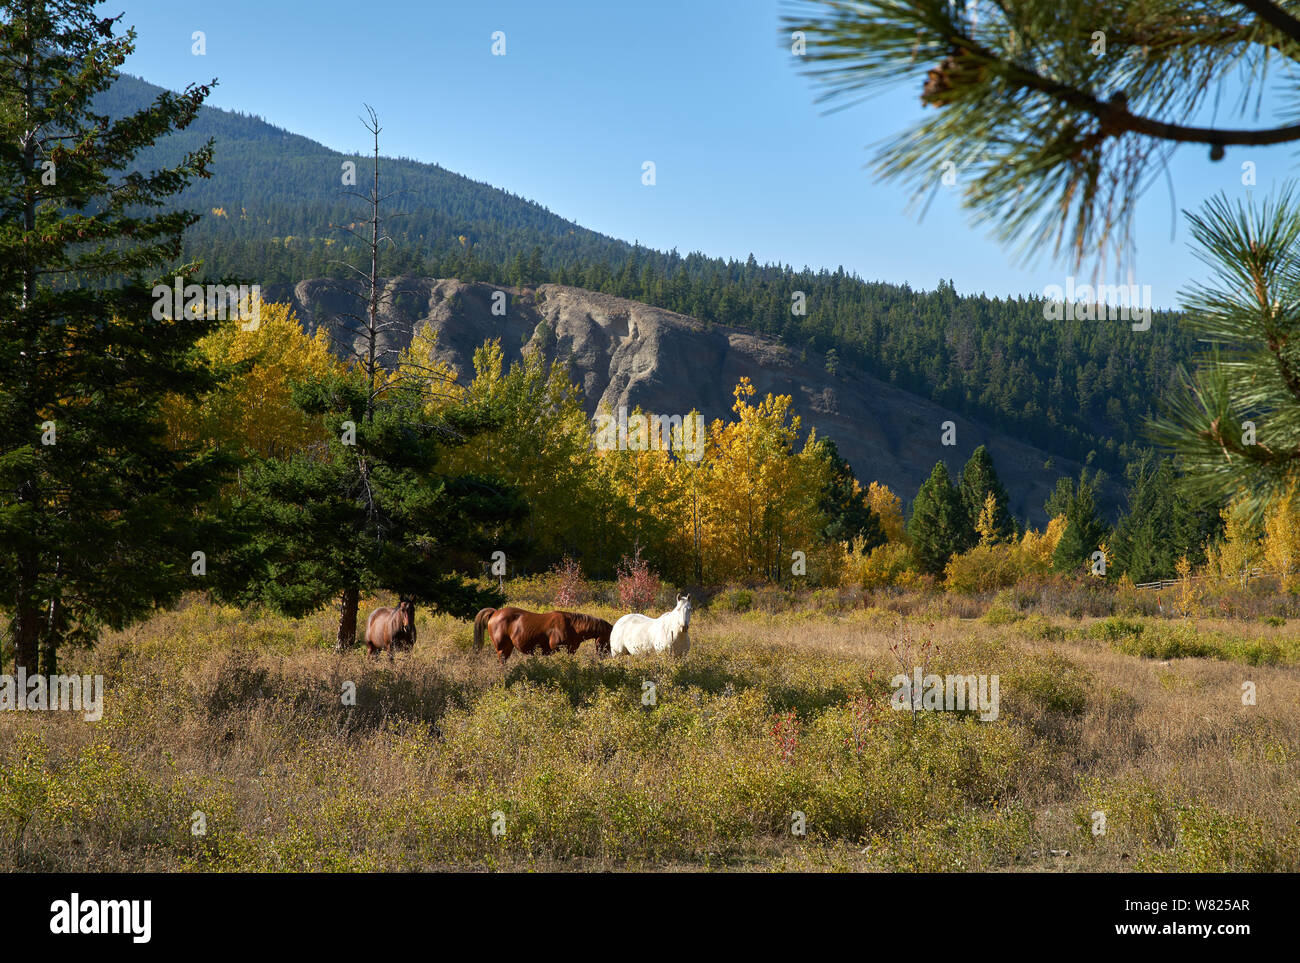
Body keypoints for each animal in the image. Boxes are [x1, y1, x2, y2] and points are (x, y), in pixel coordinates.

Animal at [473, 605, 613, 665]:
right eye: (609, 640)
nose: (605, 657)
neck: (571, 626)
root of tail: (494, 613)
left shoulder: (570, 651)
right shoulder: (557, 649)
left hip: (508, 648)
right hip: (501, 648)